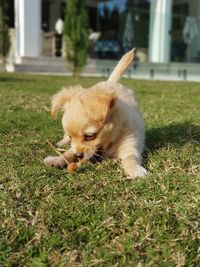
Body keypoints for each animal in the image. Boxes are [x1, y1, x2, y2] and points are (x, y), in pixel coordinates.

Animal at [44, 50, 147, 180]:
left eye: (89, 136)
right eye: (72, 137)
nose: (78, 155)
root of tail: (111, 82)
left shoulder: (130, 144)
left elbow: (130, 158)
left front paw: (135, 169)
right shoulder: (73, 146)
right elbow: (68, 153)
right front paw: (56, 160)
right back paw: (61, 142)